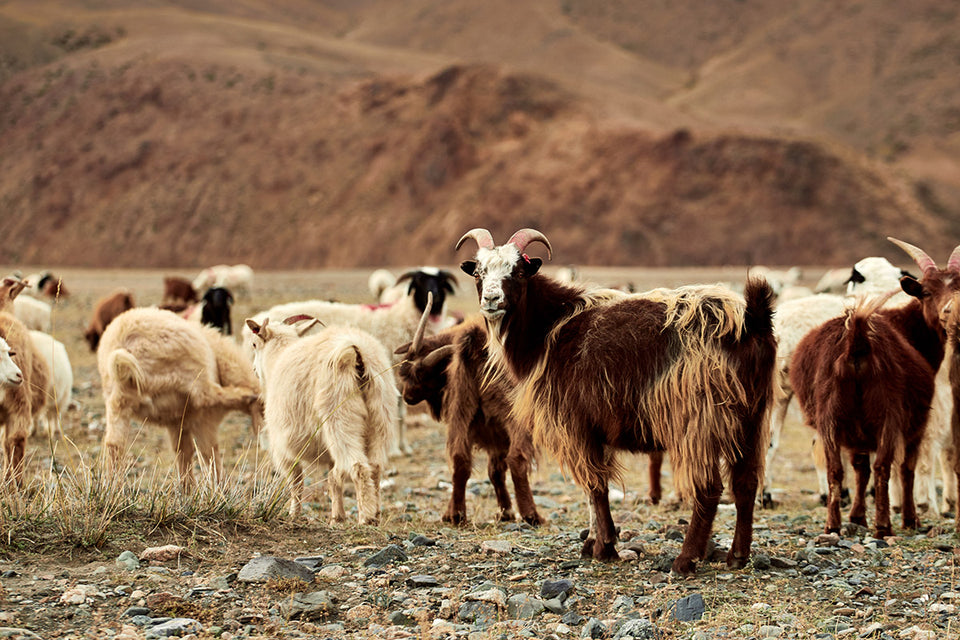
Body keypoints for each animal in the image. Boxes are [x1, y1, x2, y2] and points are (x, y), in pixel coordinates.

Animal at [98, 308, 262, 482]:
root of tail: (125, 346)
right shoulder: (203, 420)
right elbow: (209, 452)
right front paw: (217, 484)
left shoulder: (176, 421)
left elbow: (184, 451)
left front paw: (188, 486)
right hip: (193, 366)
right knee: (206, 395)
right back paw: (246, 394)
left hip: (117, 402)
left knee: (114, 444)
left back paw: (112, 482)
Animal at [248, 316, 402, 524]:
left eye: (254, 344)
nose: (254, 370)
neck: (276, 359)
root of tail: (356, 351)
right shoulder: (329, 454)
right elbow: (333, 479)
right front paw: (337, 517)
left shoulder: (282, 447)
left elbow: (296, 481)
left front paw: (294, 514)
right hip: (380, 416)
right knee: (375, 467)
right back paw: (376, 515)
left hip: (340, 419)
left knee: (359, 467)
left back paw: (365, 518)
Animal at [394, 302, 544, 528]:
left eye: (424, 375)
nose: (407, 395)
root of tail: (473, 345)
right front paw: (508, 511)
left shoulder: (492, 429)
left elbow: (494, 470)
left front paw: (504, 512)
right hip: (515, 418)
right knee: (516, 458)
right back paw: (531, 514)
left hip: (462, 410)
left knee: (460, 459)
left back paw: (455, 514)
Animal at [454, 229, 776, 576]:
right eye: (478, 272)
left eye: (517, 271)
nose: (491, 300)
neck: (552, 327)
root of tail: (750, 321)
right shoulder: (594, 430)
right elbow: (592, 489)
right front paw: (591, 543)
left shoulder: (576, 425)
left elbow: (596, 485)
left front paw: (605, 546)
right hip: (751, 419)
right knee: (746, 483)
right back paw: (737, 556)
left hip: (700, 421)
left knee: (709, 487)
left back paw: (685, 559)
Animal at [792, 238, 956, 536]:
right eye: (927, 292)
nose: (948, 312)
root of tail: (857, 340)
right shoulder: (916, 423)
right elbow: (906, 468)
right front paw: (911, 519)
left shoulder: (856, 430)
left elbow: (860, 468)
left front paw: (857, 516)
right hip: (887, 413)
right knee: (884, 467)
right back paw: (884, 526)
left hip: (829, 417)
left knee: (836, 469)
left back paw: (833, 525)